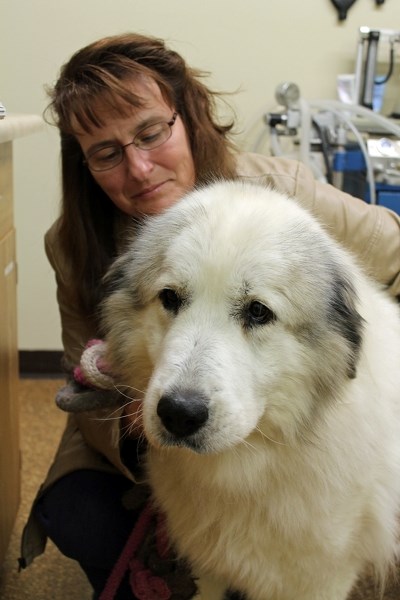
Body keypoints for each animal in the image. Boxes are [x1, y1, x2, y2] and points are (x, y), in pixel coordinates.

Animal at [101, 182, 400, 600]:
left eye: (258, 312)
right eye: (170, 298)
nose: (179, 413)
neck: (250, 464)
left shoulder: (322, 580)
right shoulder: (210, 566)